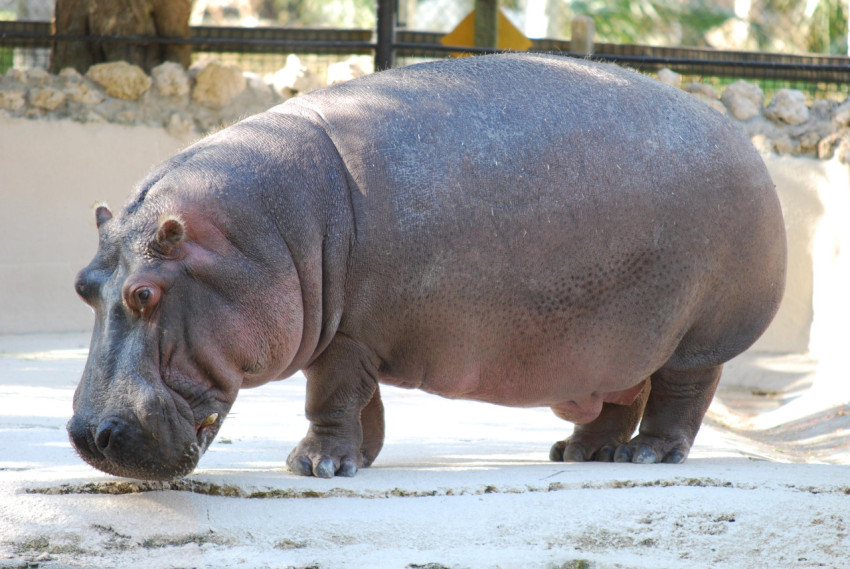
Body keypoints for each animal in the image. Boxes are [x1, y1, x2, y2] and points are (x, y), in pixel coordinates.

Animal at [68, 53, 786, 480]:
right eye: (83, 287)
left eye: (144, 294)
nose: (88, 435)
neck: (259, 234)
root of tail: (745, 144)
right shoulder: (355, 334)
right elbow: (363, 404)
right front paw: (355, 460)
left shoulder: (348, 336)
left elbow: (330, 397)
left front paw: (312, 466)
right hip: (618, 340)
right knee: (620, 395)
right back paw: (581, 452)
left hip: (697, 337)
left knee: (680, 396)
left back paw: (645, 455)